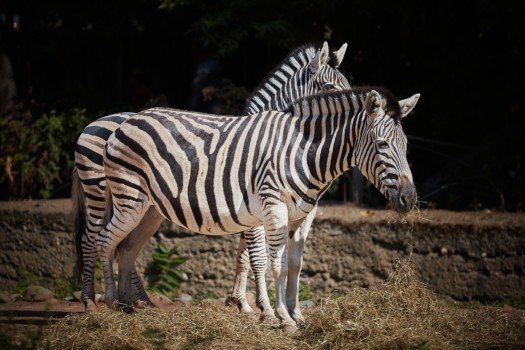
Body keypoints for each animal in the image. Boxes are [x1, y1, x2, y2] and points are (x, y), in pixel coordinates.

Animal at [71, 41, 350, 312]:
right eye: (328, 87)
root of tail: (93, 123)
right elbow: (254, 256)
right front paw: (255, 305)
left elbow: (243, 256)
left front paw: (240, 301)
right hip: (99, 191)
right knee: (90, 239)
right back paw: (90, 300)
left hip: (148, 208)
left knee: (123, 246)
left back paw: (136, 301)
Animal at [96, 87, 420, 328]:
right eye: (381, 144)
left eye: (405, 145)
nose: (409, 199)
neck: (304, 152)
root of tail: (126, 121)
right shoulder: (273, 208)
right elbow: (274, 264)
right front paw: (282, 317)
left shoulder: (302, 217)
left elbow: (295, 265)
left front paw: (296, 314)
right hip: (129, 197)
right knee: (104, 240)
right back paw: (109, 302)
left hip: (150, 209)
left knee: (126, 249)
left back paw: (128, 307)